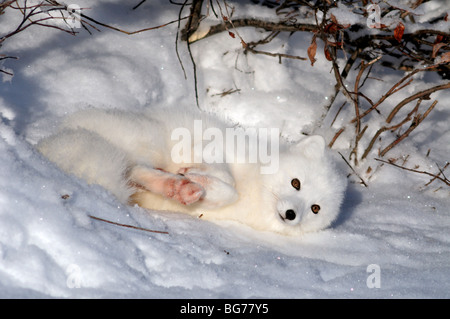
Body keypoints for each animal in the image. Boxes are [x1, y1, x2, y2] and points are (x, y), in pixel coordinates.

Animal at [38, 107, 348, 235]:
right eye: (296, 183)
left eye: (315, 208)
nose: (291, 214)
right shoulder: (214, 146)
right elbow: (226, 182)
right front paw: (199, 177)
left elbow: (222, 195)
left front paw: (195, 187)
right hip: (147, 140)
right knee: (135, 166)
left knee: (136, 175)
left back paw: (174, 187)